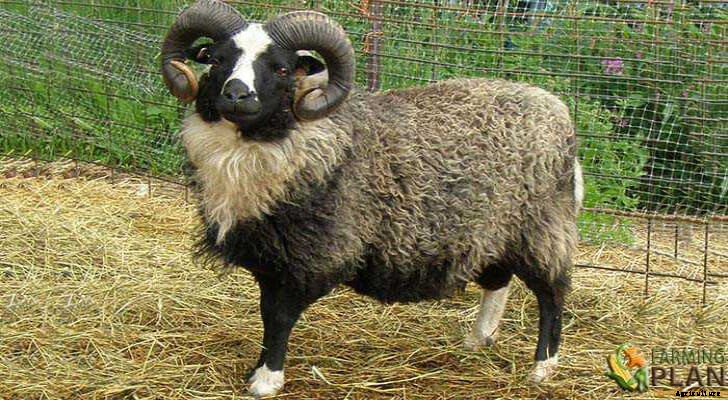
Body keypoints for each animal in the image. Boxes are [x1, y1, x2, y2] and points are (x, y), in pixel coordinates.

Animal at [160, 0, 583, 397]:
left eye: (280, 69)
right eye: (217, 59)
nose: (236, 94)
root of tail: (558, 110)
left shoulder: (313, 255)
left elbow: (279, 317)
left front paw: (266, 380)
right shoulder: (270, 255)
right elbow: (266, 312)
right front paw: (259, 370)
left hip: (542, 227)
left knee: (552, 293)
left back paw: (543, 367)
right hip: (493, 231)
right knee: (499, 279)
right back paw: (478, 339)